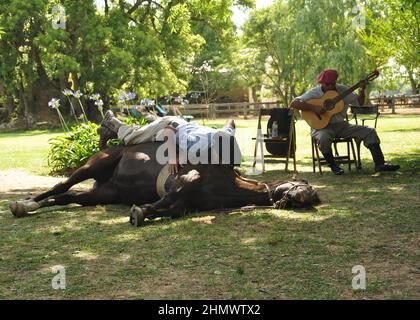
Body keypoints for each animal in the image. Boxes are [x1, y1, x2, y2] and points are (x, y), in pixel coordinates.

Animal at [9, 141, 318, 226]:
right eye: (306, 185)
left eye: (313, 194)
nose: (308, 197)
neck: (228, 184)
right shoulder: (185, 178)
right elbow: (173, 193)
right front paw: (141, 211)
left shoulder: (188, 204)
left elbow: (172, 209)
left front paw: (144, 211)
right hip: (92, 166)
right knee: (60, 186)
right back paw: (23, 204)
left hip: (104, 194)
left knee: (66, 198)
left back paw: (30, 206)